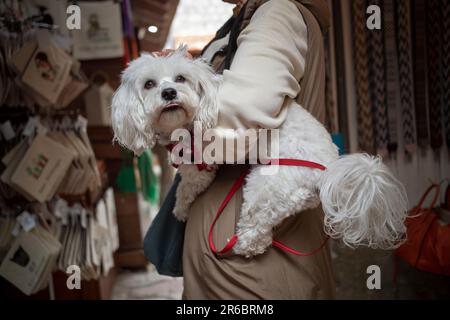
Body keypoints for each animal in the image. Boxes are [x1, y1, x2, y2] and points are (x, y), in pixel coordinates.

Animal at [111, 48, 408, 258]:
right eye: (149, 84)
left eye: (181, 78)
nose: (169, 92)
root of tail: (328, 171)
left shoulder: (201, 166)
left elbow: (187, 186)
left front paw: (180, 209)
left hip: (265, 186)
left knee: (258, 225)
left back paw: (245, 245)